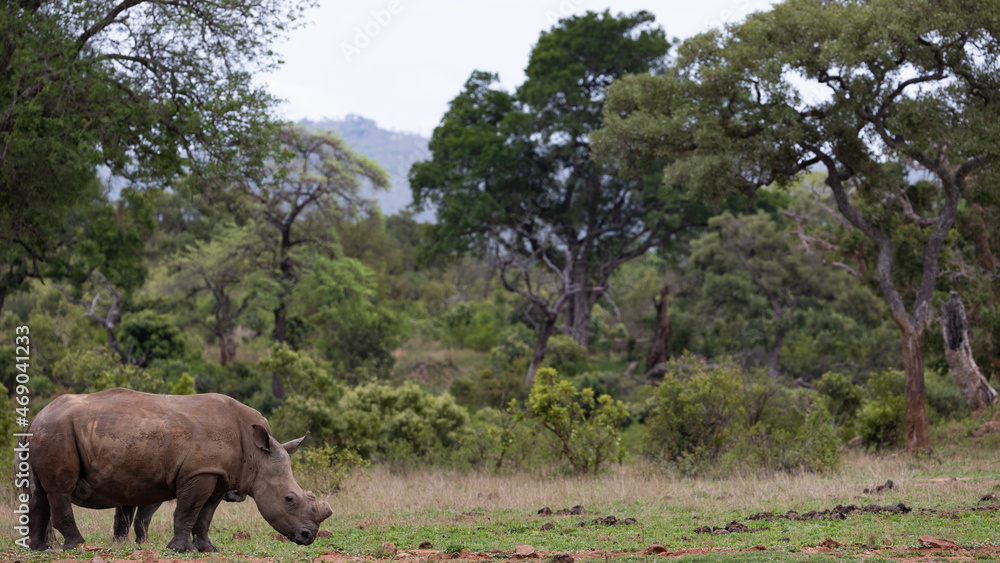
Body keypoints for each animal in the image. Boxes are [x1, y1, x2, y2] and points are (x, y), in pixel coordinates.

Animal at [27, 388, 333, 552]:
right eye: (289, 499)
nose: (308, 537)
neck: (256, 455)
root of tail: (38, 415)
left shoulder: (219, 476)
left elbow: (205, 515)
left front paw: (208, 549)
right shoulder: (199, 473)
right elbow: (187, 510)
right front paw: (179, 548)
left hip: (47, 432)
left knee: (39, 492)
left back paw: (39, 548)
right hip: (57, 431)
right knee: (60, 489)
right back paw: (77, 546)